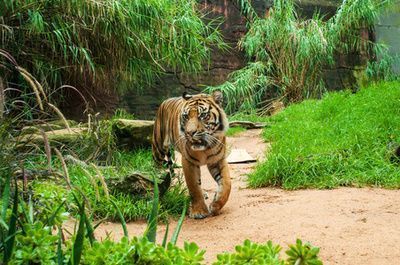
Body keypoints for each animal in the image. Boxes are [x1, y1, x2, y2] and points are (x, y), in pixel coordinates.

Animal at [152, 91, 230, 219]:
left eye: (203, 115)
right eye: (186, 116)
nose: (189, 133)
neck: (205, 149)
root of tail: (165, 101)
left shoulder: (218, 159)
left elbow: (227, 184)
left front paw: (216, 205)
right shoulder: (189, 162)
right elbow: (194, 186)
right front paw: (199, 211)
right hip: (158, 148)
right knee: (157, 168)